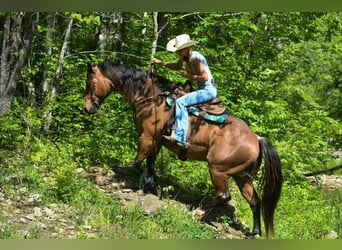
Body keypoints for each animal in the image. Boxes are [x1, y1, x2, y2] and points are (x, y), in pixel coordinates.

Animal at [83, 61, 284, 238]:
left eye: (90, 83)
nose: (86, 108)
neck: (151, 98)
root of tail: (256, 139)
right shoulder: (156, 141)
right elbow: (150, 164)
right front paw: (155, 187)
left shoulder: (147, 137)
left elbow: (139, 163)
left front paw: (152, 186)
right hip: (242, 177)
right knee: (254, 201)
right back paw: (254, 232)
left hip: (218, 170)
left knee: (224, 195)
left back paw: (197, 213)